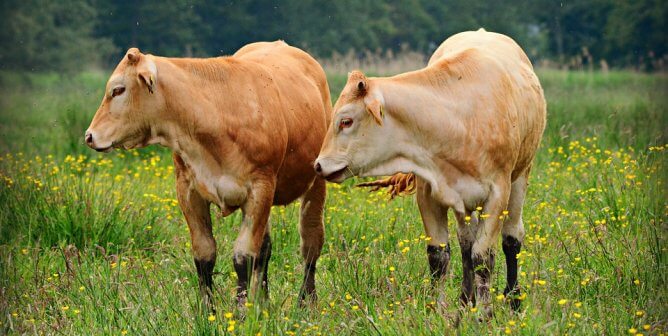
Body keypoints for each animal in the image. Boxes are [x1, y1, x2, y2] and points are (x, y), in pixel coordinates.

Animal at [86, 40, 332, 306]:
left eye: (118, 90)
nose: (89, 136)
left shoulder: (260, 189)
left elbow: (243, 256)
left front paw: (240, 309)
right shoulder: (188, 191)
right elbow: (205, 256)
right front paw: (209, 310)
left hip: (316, 183)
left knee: (310, 243)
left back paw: (306, 302)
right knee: (265, 249)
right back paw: (262, 303)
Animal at [316, 29, 544, 318]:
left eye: (346, 121)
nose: (318, 165)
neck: (457, 118)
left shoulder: (497, 194)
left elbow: (483, 257)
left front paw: (484, 314)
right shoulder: (429, 194)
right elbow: (439, 255)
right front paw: (438, 309)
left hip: (521, 177)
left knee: (511, 239)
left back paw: (513, 300)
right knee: (466, 243)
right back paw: (465, 299)